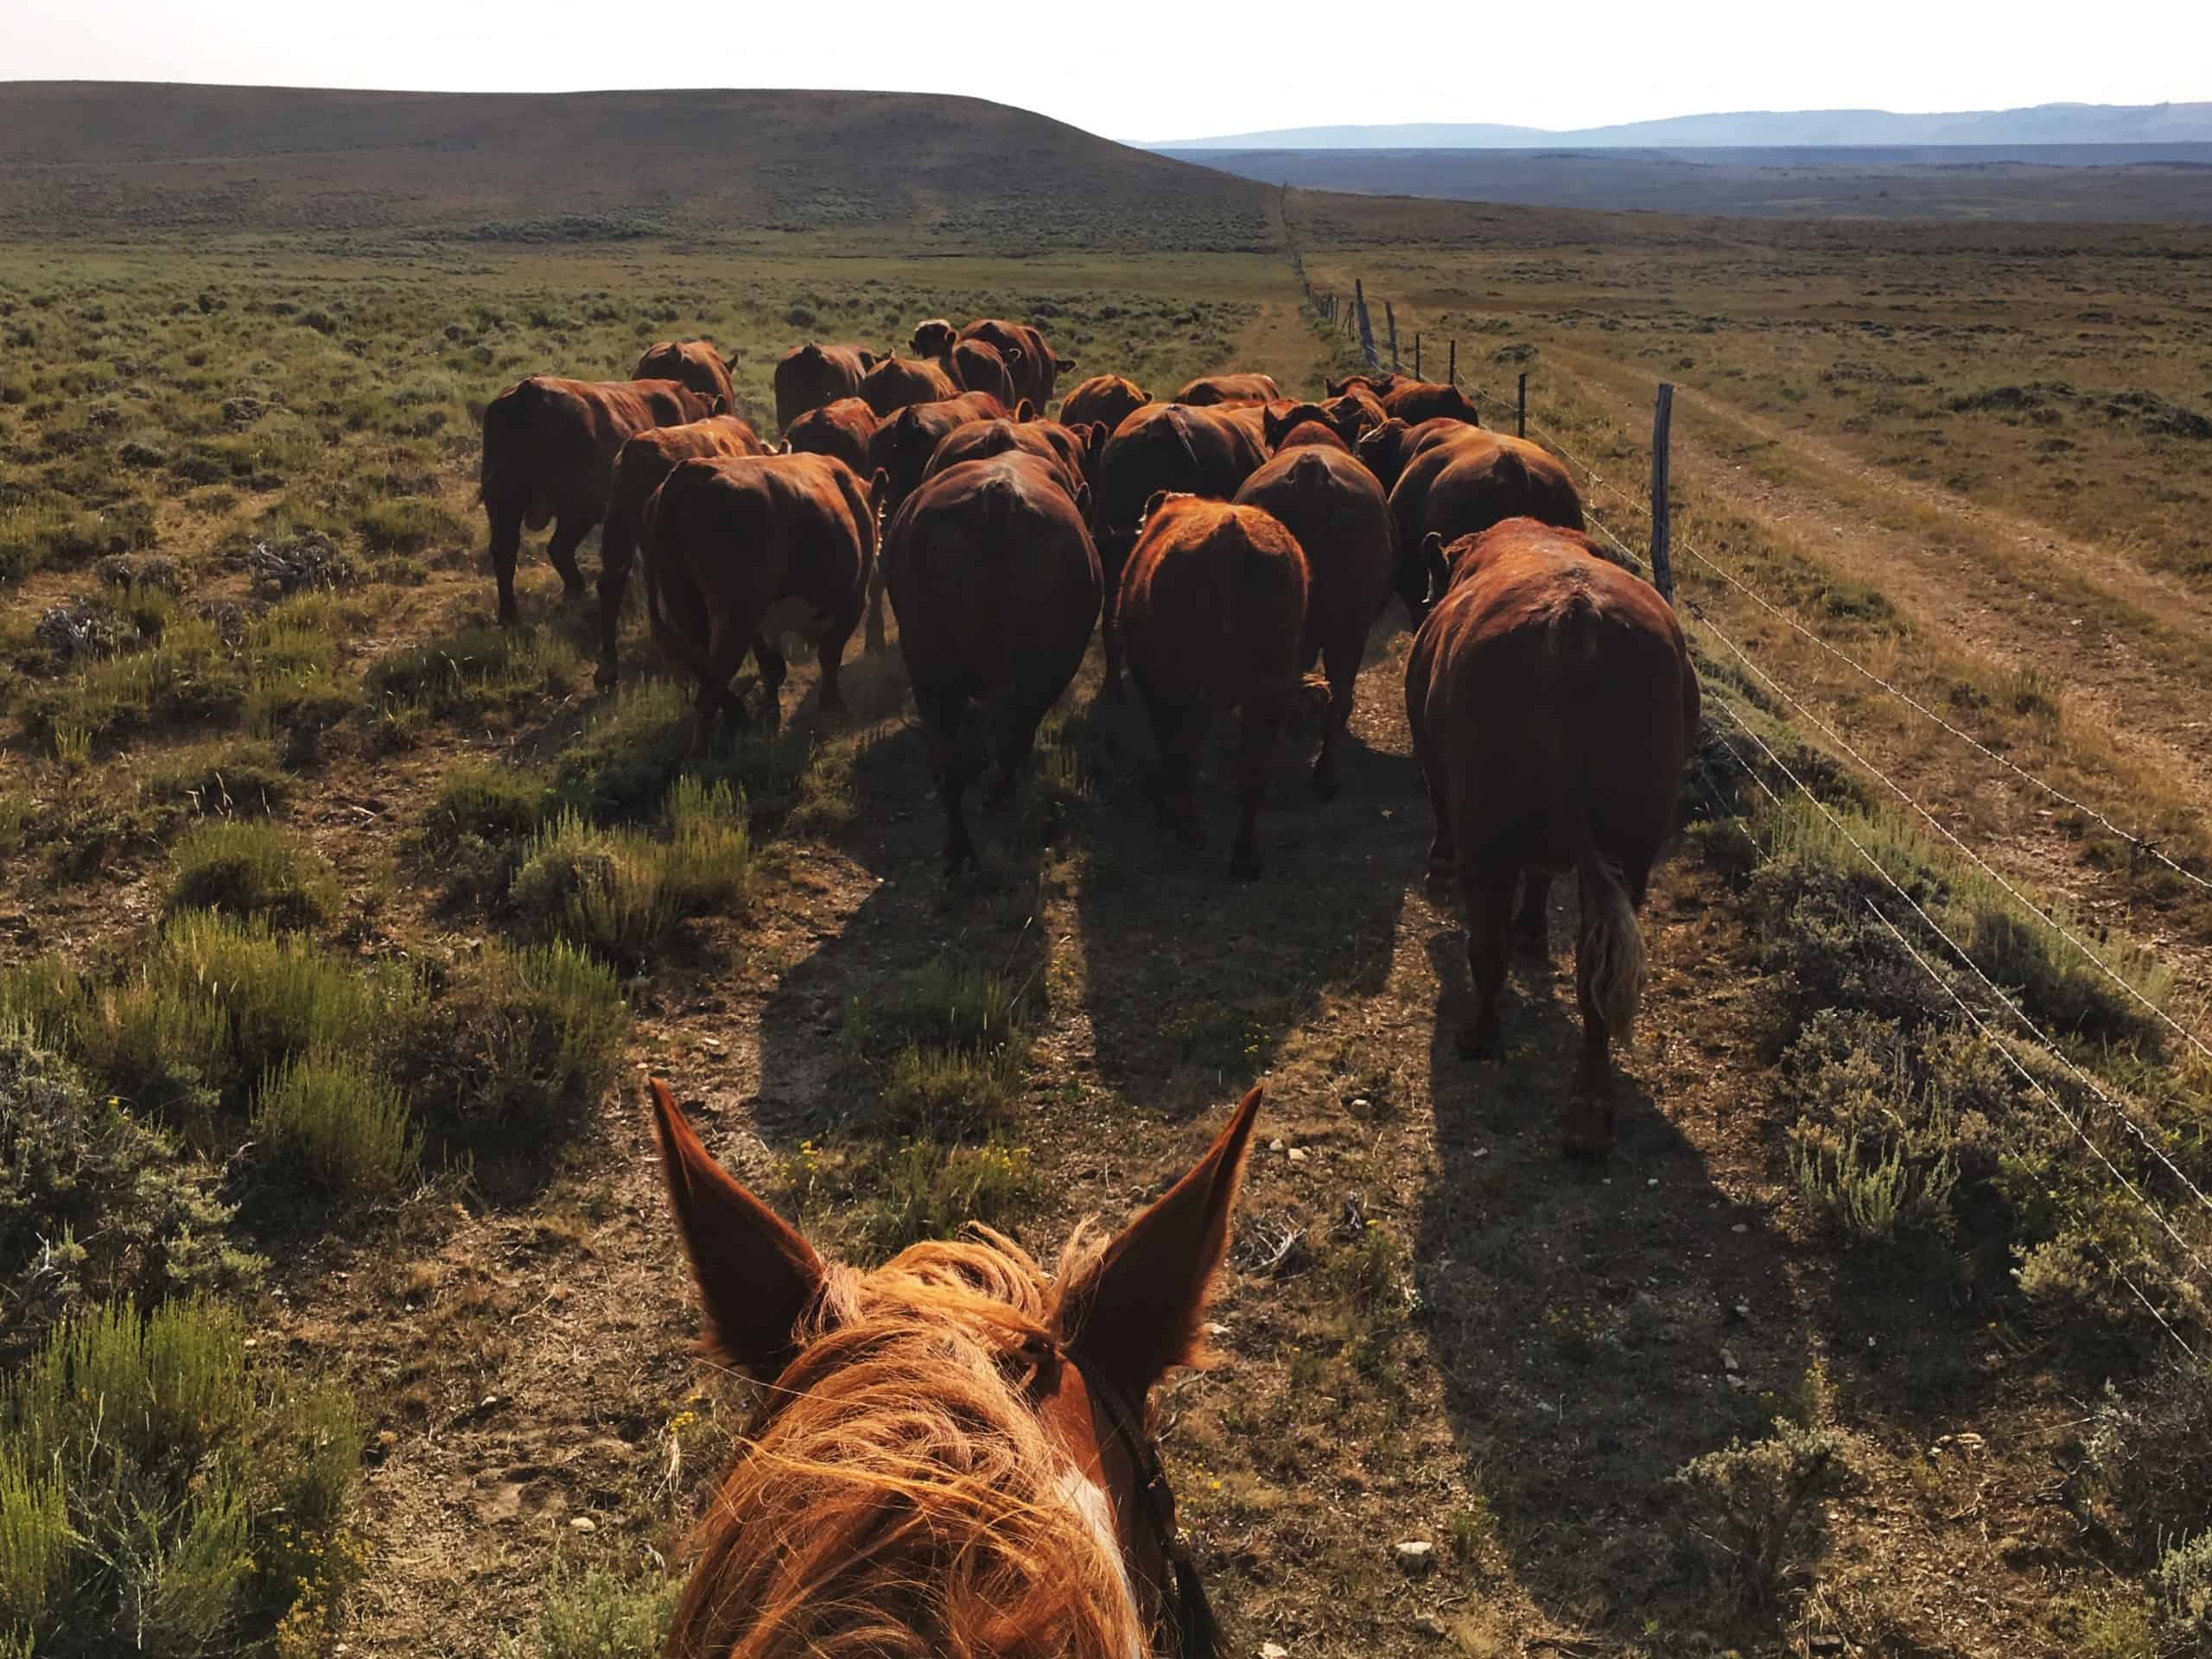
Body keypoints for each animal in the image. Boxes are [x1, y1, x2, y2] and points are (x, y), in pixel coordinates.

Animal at [478, 374, 722, 627]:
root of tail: (530, 391)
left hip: (505, 504)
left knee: (507, 552)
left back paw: (511, 615)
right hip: (577, 511)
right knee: (558, 548)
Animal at [635, 452, 880, 750]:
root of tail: (687, 472)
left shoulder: (762, 624)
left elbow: (770, 664)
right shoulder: (853, 601)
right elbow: (829, 655)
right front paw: (832, 703)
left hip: (688, 613)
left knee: (705, 672)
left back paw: (735, 719)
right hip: (733, 617)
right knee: (710, 687)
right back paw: (705, 749)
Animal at [881, 453, 1102, 872]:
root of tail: (1000, 494)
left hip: (933, 676)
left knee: (950, 761)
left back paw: (960, 849)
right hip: (1042, 672)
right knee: (1009, 737)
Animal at [1116, 495, 1309, 879]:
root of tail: (1229, 531)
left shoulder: (1157, 687)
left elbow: (1172, 747)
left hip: (1188, 685)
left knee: (1182, 753)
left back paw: (1189, 831)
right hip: (1266, 693)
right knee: (1252, 773)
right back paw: (1245, 860)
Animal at [1404, 516, 1698, 1155]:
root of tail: (1576, 618)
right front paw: (1534, 930)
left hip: (1487, 836)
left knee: (1486, 948)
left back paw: (1479, 1036)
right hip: (1630, 847)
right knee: (1594, 972)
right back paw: (1590, 1109)